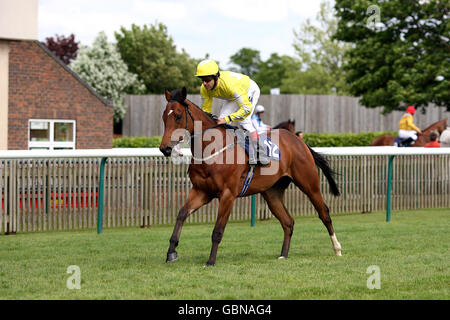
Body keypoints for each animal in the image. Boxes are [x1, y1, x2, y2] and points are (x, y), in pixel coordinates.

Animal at [160, 87, 340, 264]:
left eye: (178, 116)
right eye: (163, 116)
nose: (165, 148)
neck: (212, 150)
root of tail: (299, 141)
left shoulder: (228, 194)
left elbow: (218, 230)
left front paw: (210, 261)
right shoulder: (201, 191)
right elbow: (181, 214)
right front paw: (171, 252)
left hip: (309, 184)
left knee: (324, 213)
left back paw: (337, 248)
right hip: (272, 193)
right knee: (288, 222)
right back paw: (283, 254)